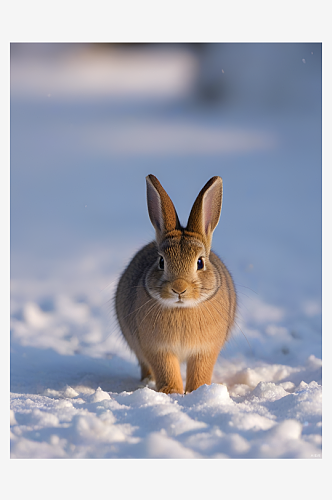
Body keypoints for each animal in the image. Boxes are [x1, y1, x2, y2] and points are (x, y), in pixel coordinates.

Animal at [115, 176, 237, 394]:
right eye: (161, 261)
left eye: (200, 262)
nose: (179, 289)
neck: (182, 308)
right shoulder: (157, 349)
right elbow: (166, 370)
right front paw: (172, 392)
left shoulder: (205, 350)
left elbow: (200, 371)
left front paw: (196, 390)